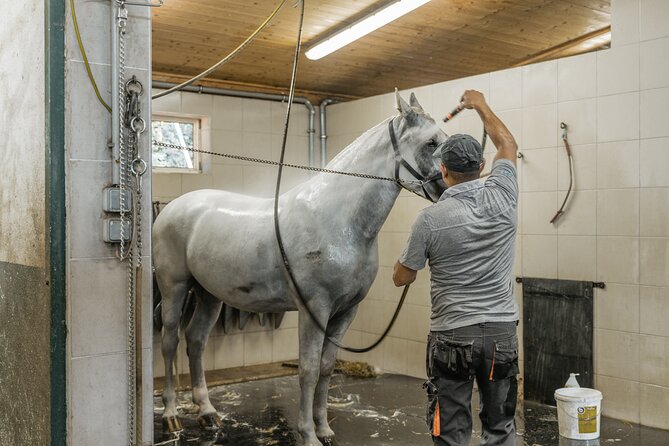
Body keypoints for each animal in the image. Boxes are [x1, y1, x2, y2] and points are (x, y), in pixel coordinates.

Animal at [153, 91, 446, 446]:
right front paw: (307, 434)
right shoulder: (314, 309)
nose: (447, 188)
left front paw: (325, 429)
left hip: (209, 295)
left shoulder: (345, 312)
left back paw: (208, 413)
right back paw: (170, 416)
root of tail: (172, 207)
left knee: (196, 341)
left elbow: (326, 368)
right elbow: (307, 370)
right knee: (170, 342)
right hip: (174, 289)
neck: (337, 221)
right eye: (431, 142)